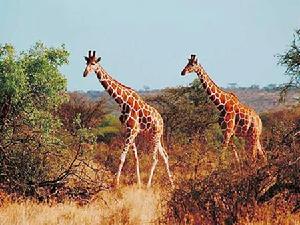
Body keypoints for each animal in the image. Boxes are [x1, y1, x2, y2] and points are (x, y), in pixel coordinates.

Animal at [83, 50, 175, 187]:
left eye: (93, 63)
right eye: (86, 62)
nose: (84, 73)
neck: (123, 102)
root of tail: (162, 121)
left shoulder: (132, 131)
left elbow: (122, 157)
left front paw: (116, 183)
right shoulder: (129, 130)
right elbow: (135, 158)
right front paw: (138, 183)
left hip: (155, 135)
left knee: (155, 158)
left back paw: (149, 185)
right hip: (153, 136)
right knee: (165, 155)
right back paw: (172, 184)